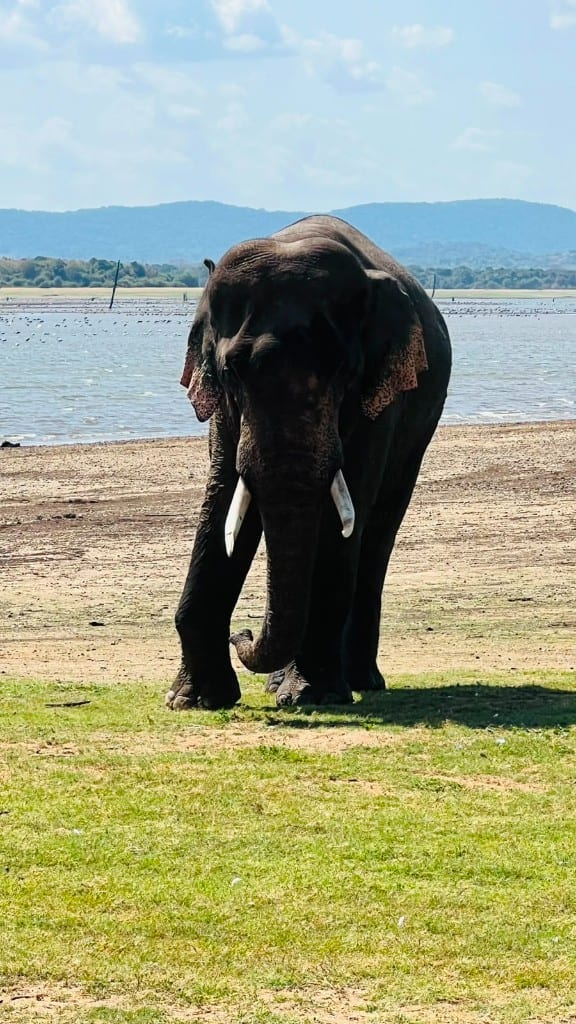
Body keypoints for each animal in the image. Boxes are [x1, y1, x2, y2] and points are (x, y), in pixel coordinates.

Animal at [165, 215, 451, 710]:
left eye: (345, 371)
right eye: (230, 372)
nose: (242, 633)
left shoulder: (380, 400)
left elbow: (344, 511)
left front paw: (314, 695)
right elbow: (224, 497)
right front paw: (194, 700)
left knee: (378, 532)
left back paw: (357, 681)